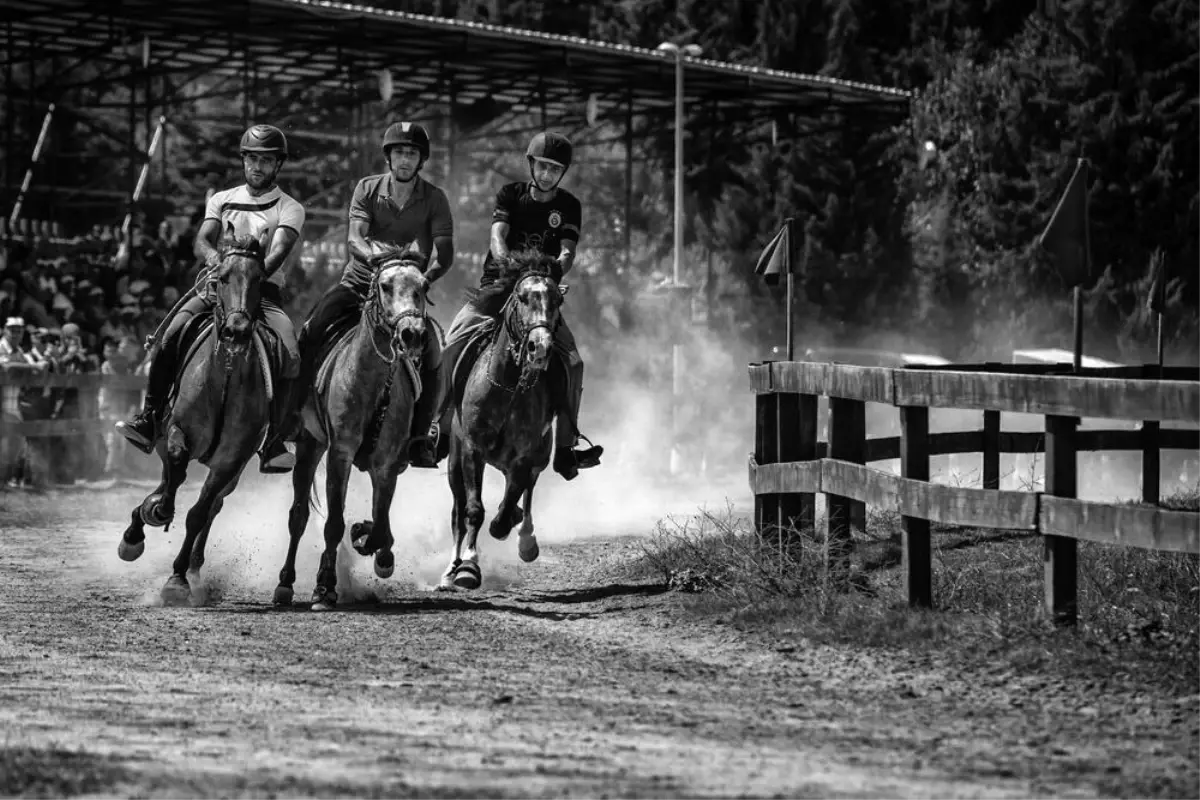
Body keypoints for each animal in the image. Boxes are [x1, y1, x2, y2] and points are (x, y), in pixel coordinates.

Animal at [117, 221, 274, 604]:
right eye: (223, 277)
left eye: (260, 279)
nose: (237, 330)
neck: (226, 375)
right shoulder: (177, 432)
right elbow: (174, 468)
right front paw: (154, 512)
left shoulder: (232, 459)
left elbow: (198, 514)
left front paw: (177, 579)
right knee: (168, 478)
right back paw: (139, 526)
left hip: (230, 472)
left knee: (211, 505)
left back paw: (193, 567)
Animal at [274, 244, 432, 614]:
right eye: (385, 286)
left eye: (424, 286)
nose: (412, 334)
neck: (372, 384)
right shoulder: (340, 453)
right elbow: (333, 524)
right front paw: (323, 589)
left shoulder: (386, 464)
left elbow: (381, 521)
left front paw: (370, 542)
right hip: (309, 445)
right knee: (299, 516)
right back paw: (286, 583)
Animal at [441, 253, 566, 592]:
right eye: (521, 297)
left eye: (557, 299)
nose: (540, 347)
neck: (508, 385)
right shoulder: (471, 449)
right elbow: (472, 510)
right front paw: (469, 567)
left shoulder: (524, 456)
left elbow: (509, 505)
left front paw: (508, 525)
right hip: (455, 461)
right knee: (457, 511)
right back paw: (450, 570)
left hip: (539, 457)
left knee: (527, 492)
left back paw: (525, 538)